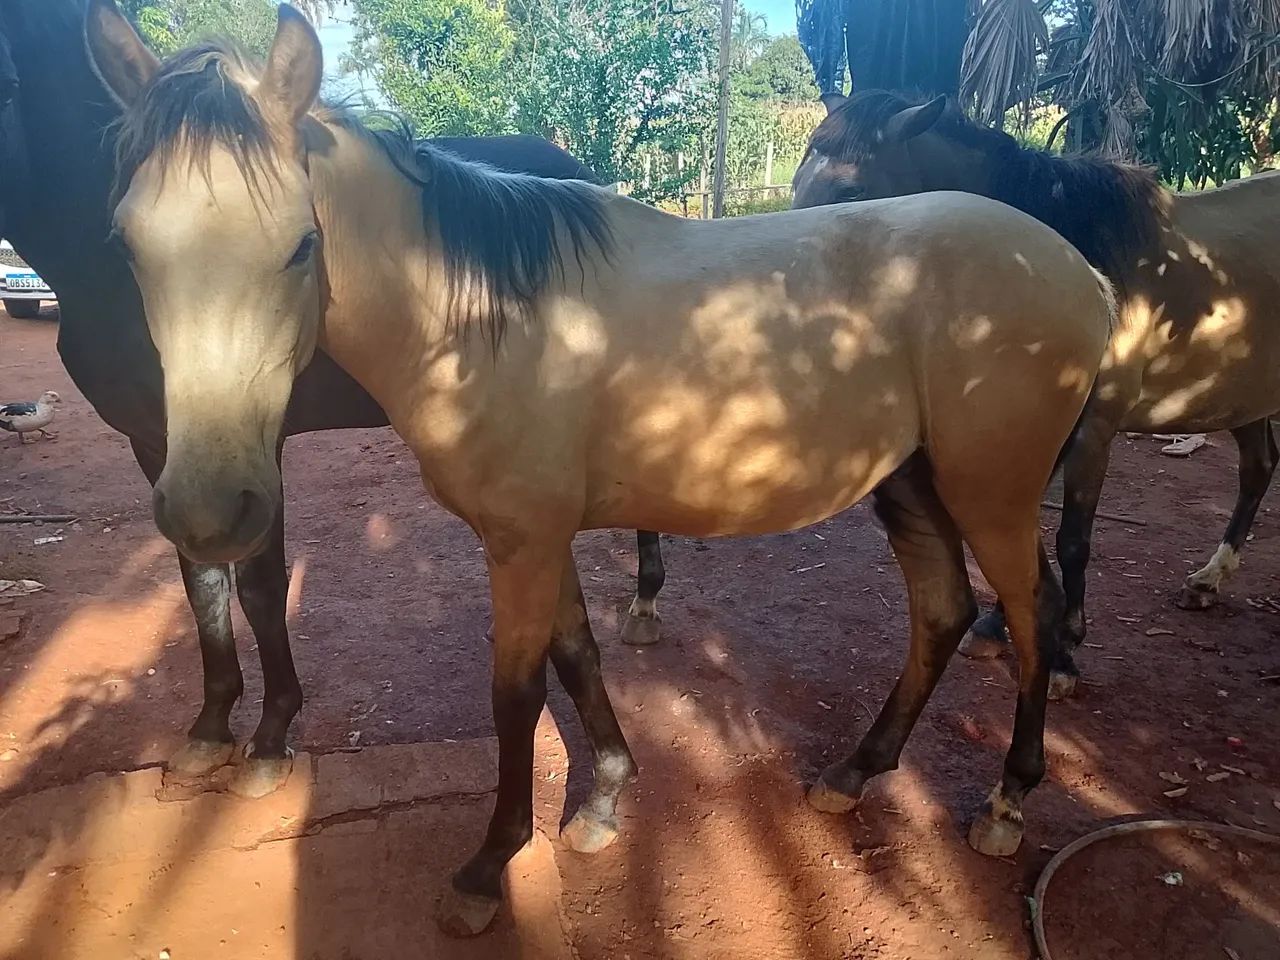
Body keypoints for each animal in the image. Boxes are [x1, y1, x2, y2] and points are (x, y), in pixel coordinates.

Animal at [0, 0, 665, 800]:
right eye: (125, 241)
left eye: (7, 84)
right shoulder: (162, 449)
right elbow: (201, 583)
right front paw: (210, 730)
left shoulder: (253, 446)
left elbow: (259, 583)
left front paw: (268, 737)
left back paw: (646, 602)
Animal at [85, 1, 1116, 935]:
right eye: (125, 245)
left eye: (301, 243)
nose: (209, 510)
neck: (481, 319)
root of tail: (1080, 271)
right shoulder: (541, 537)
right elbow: (577, 653)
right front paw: (606, 800)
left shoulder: (521, 543)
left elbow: (515, 694)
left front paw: (488, 867)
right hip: (910, 483)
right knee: (941, 610)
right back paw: (856, 773)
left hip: (994, 493)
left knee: (1032, 617)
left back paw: (1007, 802)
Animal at [793, 89, 1280, 695]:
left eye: (850, 192)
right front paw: (995, 626)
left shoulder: (1093, 429)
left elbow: (1072, 540)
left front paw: (1065, 654)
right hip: (1243, 396)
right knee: (1259, 467)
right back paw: (1209, 581)